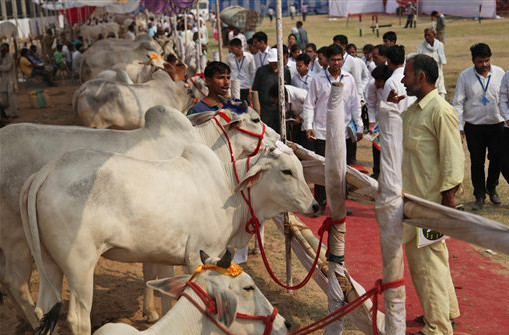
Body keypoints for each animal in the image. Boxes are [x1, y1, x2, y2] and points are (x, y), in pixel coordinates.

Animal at [0, 105, 274, 330]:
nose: (278, 138)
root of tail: (42, 176)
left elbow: (152, 273)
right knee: (16, 282)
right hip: (22, 242)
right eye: (255, 118)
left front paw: (150, 311)